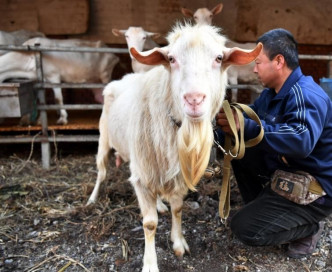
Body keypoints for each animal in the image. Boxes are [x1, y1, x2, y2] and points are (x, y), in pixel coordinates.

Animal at [87, 23, 262, 272]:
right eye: (171, 59)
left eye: (219, 58)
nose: (194, 99)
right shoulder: (142, 176)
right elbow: (149, 224)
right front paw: (150, 264)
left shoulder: (176, 173)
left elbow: (178, 209)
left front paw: (178, 243)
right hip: (104, 139)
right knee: (101, 172)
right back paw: (92, 199)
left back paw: (160, 204)